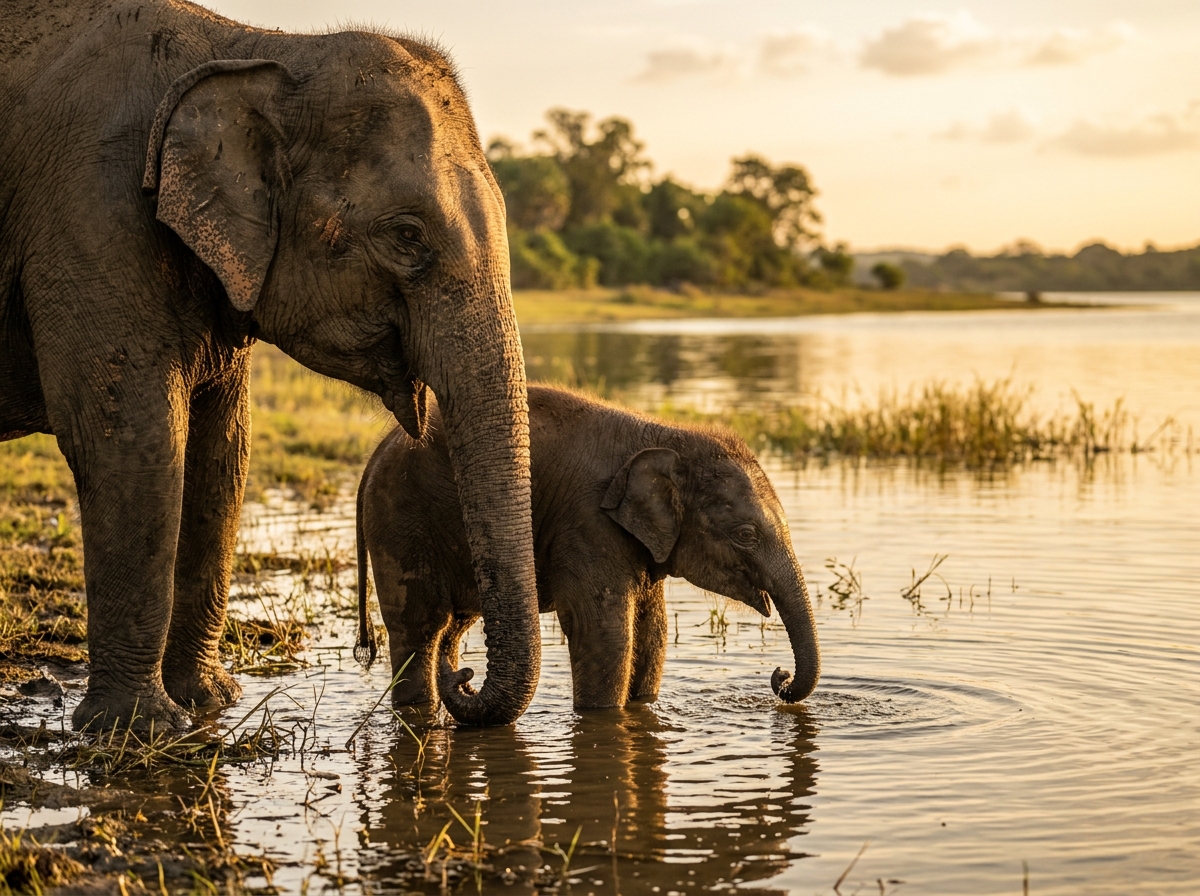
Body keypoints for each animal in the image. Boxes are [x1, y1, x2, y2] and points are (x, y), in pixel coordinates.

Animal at [0, 0, 539, 731]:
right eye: (406, 236)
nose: (464, 677)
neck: (256, 46)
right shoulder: (91, 215)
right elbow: (133, 442)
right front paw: (138, 729)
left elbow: (222, 450)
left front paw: (210, 703)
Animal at [356, 384, 820, 711]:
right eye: (745, 535)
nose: (779, 676)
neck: (668, 436)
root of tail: (375, 453)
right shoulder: (588, 523)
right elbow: (603, 630)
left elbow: (653, 632)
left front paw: (642, 707)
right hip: (401, 525)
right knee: (421, 627)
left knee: (450, 629)